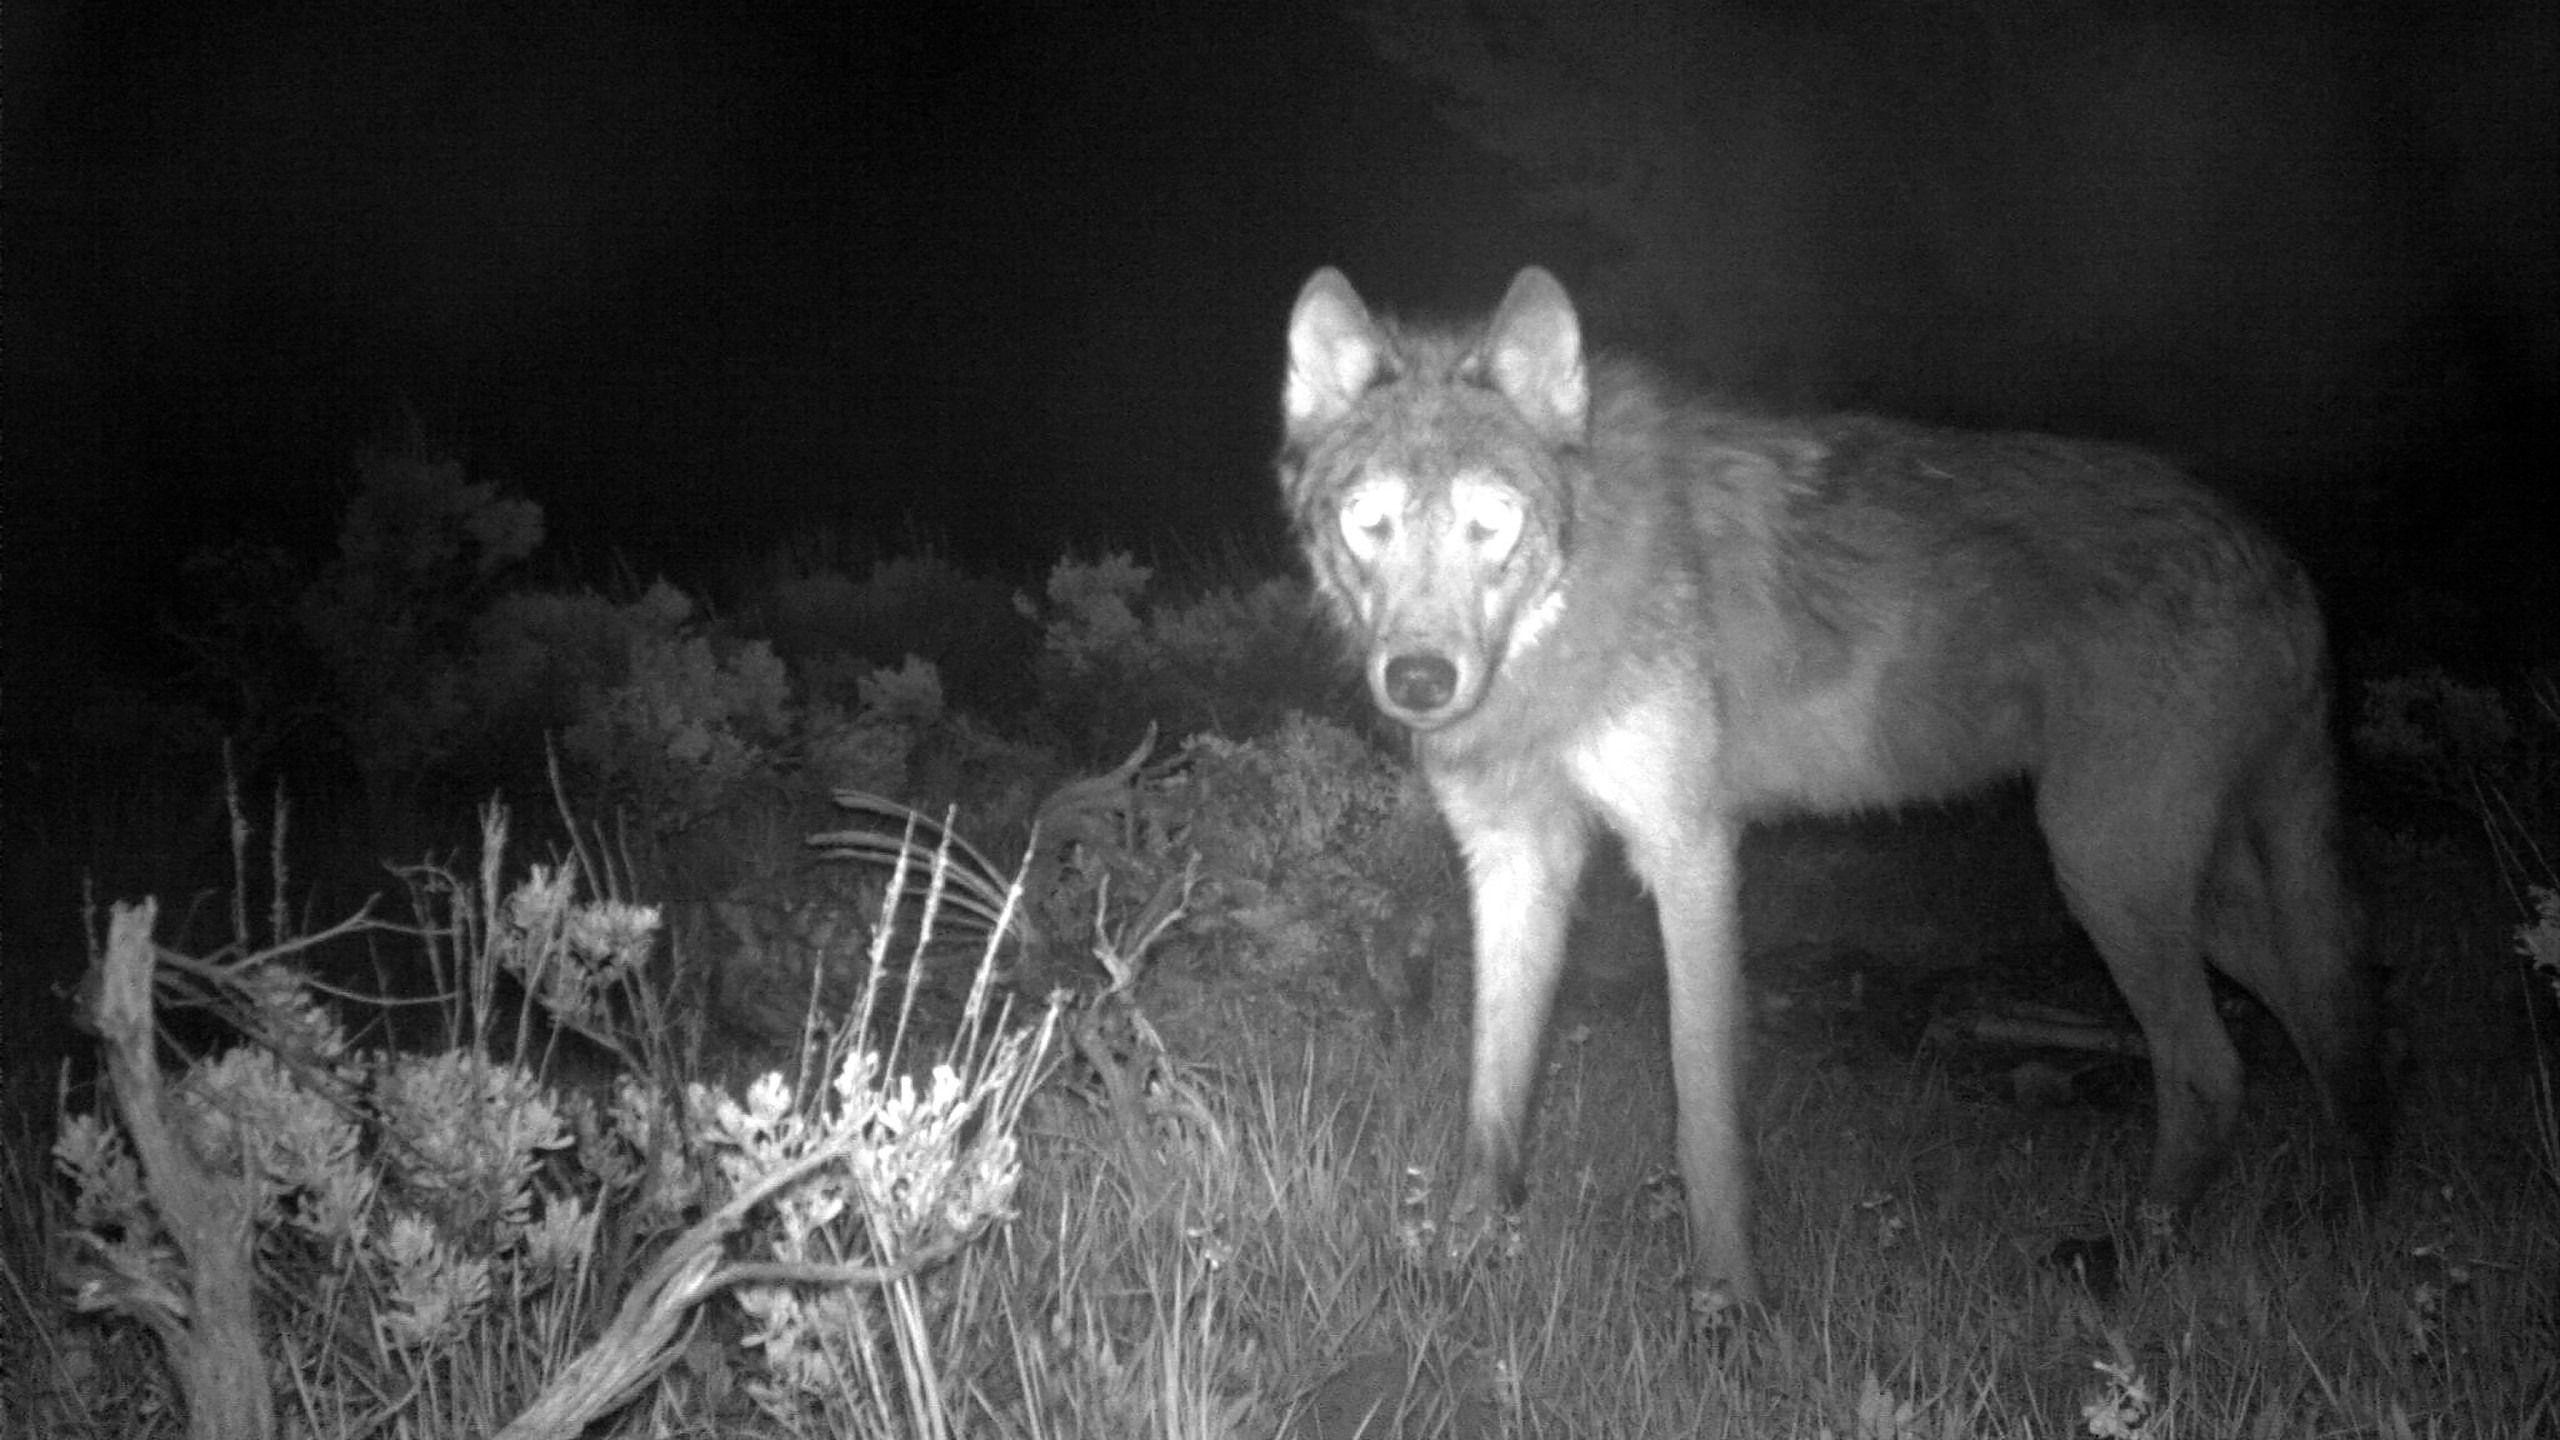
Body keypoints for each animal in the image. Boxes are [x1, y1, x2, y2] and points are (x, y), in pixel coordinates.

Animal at [1280, 266, 2396, 1301]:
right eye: (1369, 522)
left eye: (1491, 522)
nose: (1418, 680)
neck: (1567, 614)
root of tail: (2277, 557)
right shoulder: (1516, 860)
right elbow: (1493, 1096)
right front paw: (1462, 1257)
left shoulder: (1688, 851)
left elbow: (1702, 1113)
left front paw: (1728, 1301)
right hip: (2179, 893)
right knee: (2324, 1013)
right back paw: (2343, 1211)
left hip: (2105, 871)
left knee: (2214, 1066)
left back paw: (2136, 1254)